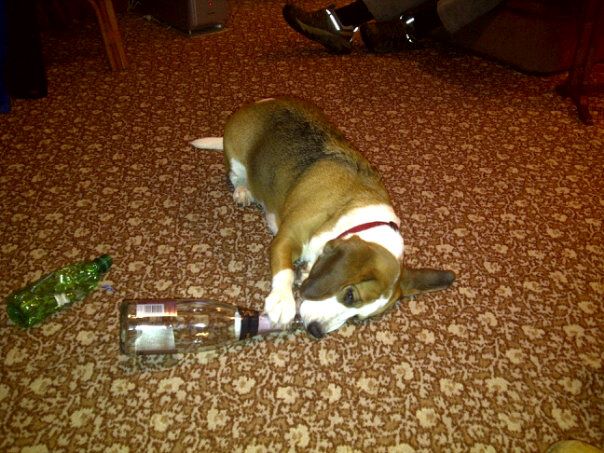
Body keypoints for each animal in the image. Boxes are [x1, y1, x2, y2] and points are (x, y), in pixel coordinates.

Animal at [192, 97, 455, 338]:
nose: (316, 331)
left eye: (357, 317)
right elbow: (285, 271)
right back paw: (243, 191)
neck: (352, 216)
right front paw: (282, 302)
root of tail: (259, 103)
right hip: (236, 159)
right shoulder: (285, 239)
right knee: (237, 177)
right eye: (349, 295)